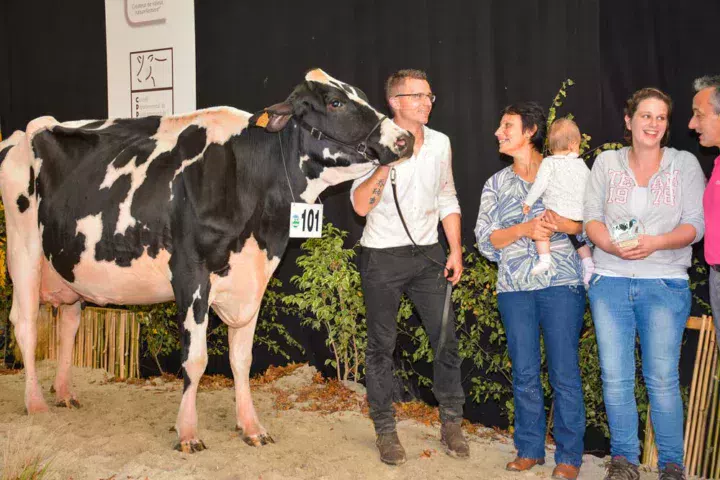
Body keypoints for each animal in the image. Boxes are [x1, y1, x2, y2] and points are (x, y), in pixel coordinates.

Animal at [0, 68, 414, 454]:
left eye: (360, 96)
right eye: (335, 103)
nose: (404, 138)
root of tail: (24, 131)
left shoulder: (253, 279)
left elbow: (242, 358)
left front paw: (251, 427)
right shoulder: (190, 274)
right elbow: (195, 359)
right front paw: (187, 433)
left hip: (69, 267)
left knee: (69, 323)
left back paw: (65, 393)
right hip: (24, 248)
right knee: (26, 323)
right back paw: (36, 403)